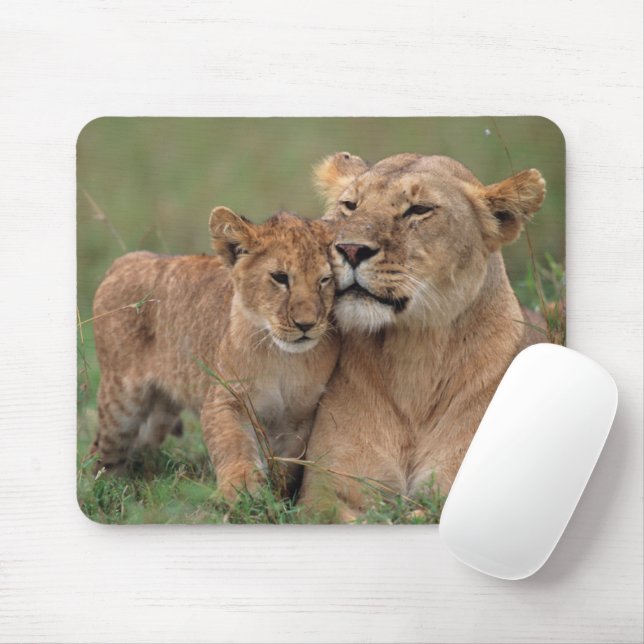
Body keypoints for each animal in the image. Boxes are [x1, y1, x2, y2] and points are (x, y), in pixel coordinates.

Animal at [91, 207, 339, 501]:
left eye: (325, 280)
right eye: (280, 277)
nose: (306, 325)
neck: (284, 358)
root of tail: (125, 260)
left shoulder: (299, 418)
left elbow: (286, 465)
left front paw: (277, 497)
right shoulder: (226, 398)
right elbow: (233, 444)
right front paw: (241, 489)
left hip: (161, 413)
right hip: (121, 402)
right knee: (102, 451)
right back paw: (103, 488)